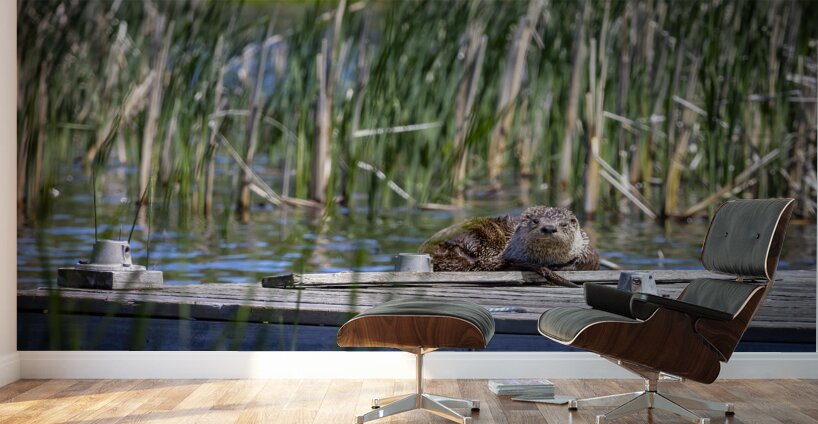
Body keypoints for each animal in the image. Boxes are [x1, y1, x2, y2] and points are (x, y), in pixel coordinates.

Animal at [419, 206, 599, 287]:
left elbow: (588, 262)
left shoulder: (587, 249)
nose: (549, 228)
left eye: (563, 224)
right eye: (535, 221)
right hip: (475, 234)